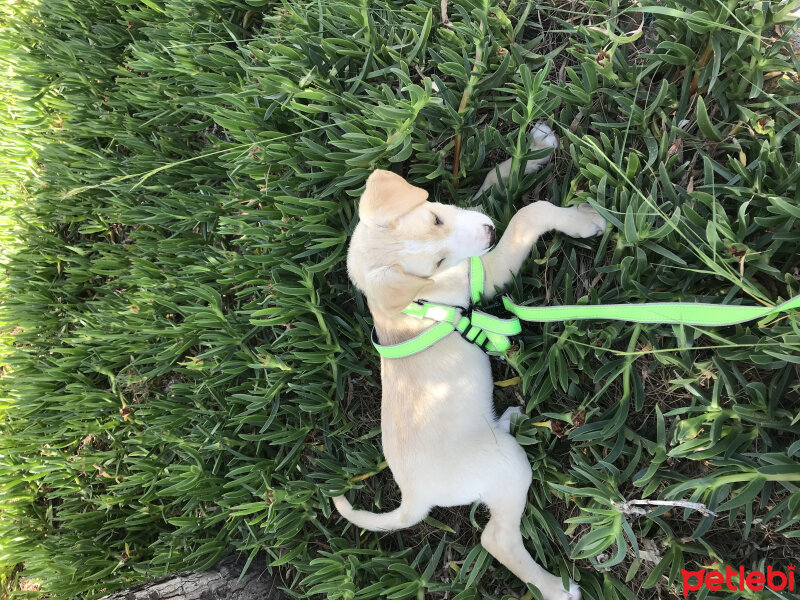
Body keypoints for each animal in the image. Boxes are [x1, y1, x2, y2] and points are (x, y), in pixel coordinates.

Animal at [334, 123, 604, 600]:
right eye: (437, 261)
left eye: (437, 219)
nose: (489, 231)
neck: (418, 299)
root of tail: (413, 499)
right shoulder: (486, 270)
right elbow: (530, 213)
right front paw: (584, 218)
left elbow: (496, 180)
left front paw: (535, 148)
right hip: (508, 467)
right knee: (496, 539)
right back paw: (555, 587)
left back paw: (509, 418)